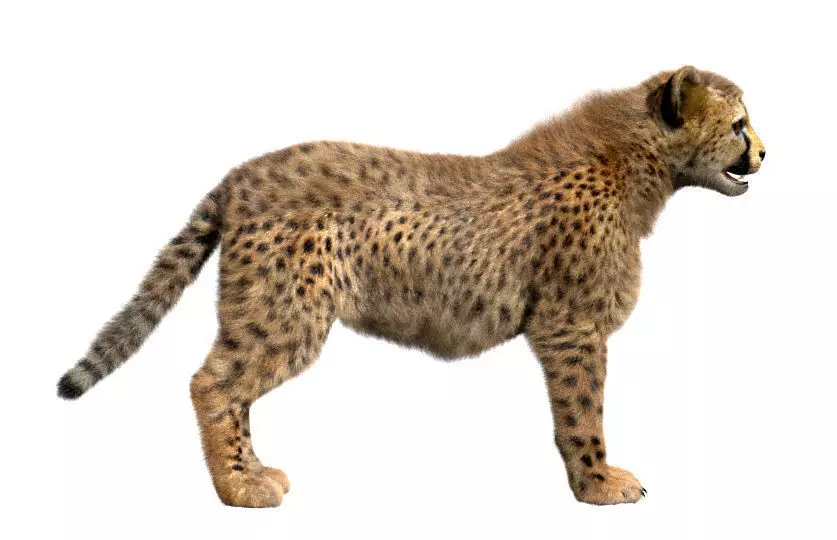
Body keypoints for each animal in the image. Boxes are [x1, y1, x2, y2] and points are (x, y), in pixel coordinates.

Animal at [57, 66, 765, 507]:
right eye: (738, 124)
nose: (764, 153)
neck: (641, 159)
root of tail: (243, 172)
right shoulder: (571, 327)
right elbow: (582, 414)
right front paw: (598, 487)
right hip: (286, 314)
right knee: (213, 384)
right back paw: (239, 489)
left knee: (233, 392)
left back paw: (255, 472)